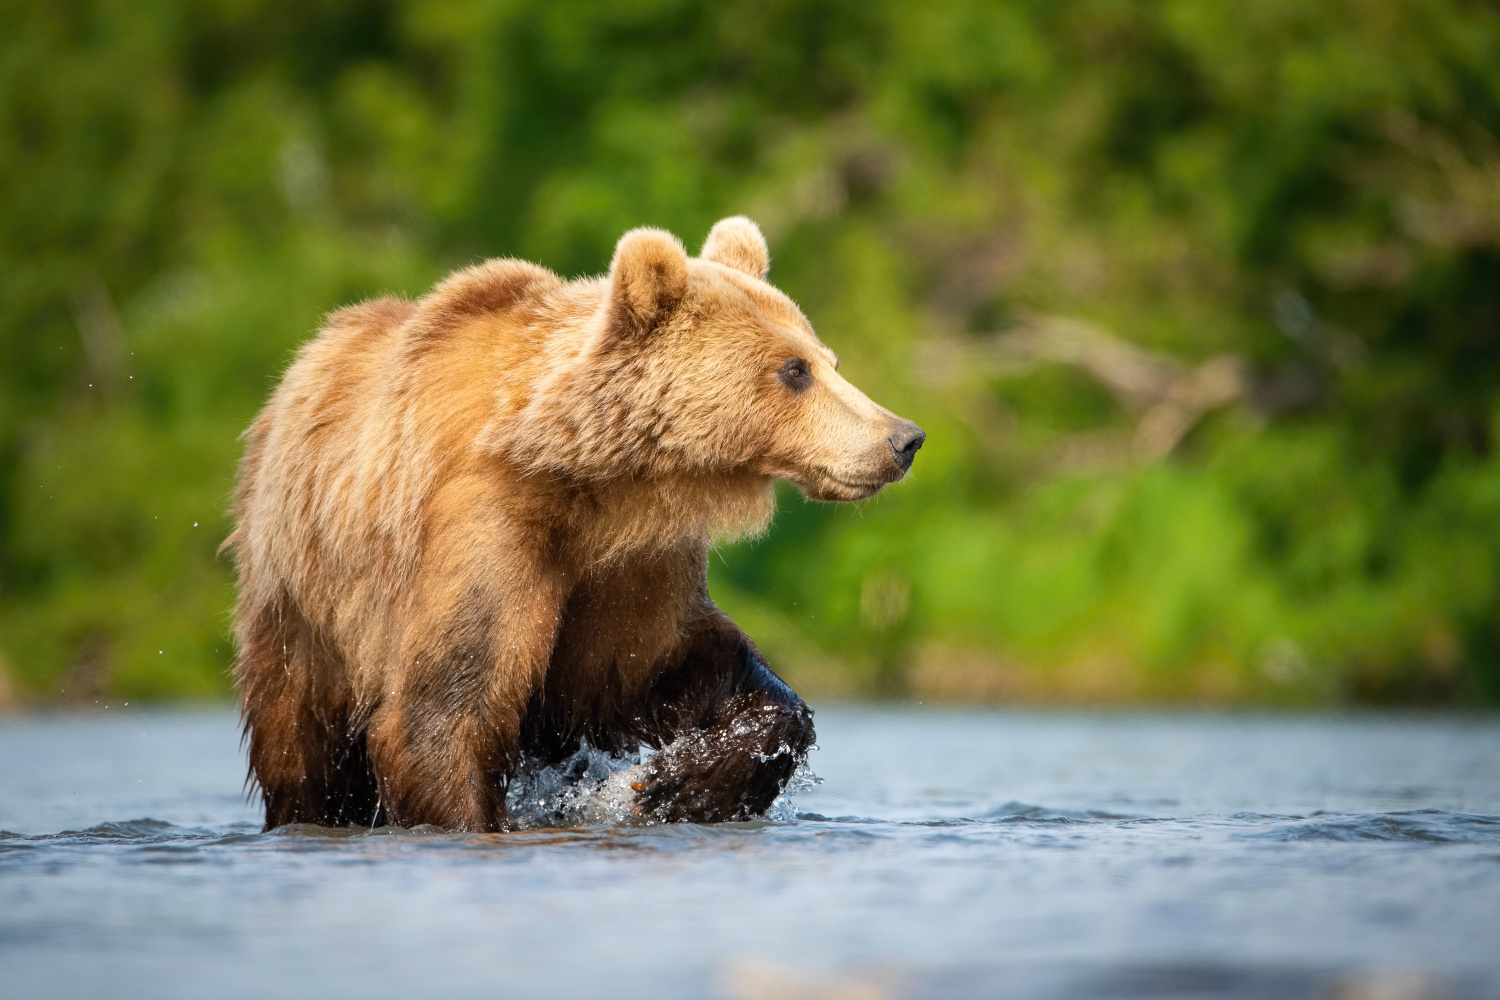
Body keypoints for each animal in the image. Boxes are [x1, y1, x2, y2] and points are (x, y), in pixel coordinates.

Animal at [223, 220, 924, 839]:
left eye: (827, 359)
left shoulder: (633, 566)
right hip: (304, 614)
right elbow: (443, 711)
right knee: (304, 752)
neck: (589, 482)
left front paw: (681, 784)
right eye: (794, 369)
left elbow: (675, 664)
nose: (904, 438)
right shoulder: (489, 528)